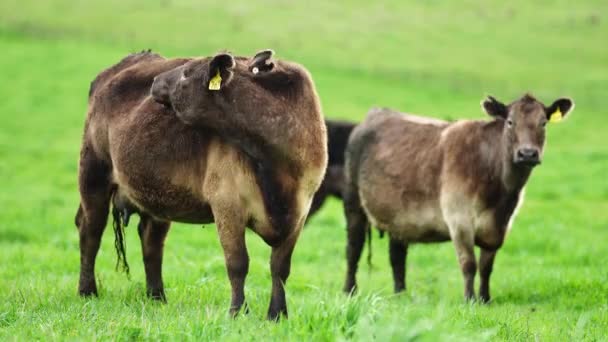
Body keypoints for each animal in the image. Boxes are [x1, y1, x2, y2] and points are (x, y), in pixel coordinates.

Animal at [75, 49, 328, 320]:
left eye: (187, 72)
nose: (155, 81)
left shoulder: (300, 211)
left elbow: (280, 268)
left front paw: (277, 314)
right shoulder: (227, 205)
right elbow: (238, 263)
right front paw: (237, 311)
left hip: (156, 195)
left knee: (151, 241)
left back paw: (157, 297)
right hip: (93, 174)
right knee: (90, 231)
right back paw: (87, 291)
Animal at [342, 94, 576, 302]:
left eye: (543, 123)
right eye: (510, 122)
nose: (527, 154)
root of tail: (375, 113)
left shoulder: (498, 228)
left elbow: (486, 267)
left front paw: (485, 298)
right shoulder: (459, 219)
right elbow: (469, 264)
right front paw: (469, 299)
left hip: (399, 216)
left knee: (397, 256)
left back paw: (400, 295)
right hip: (353, 203)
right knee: (354, 249)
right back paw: (349, 291)